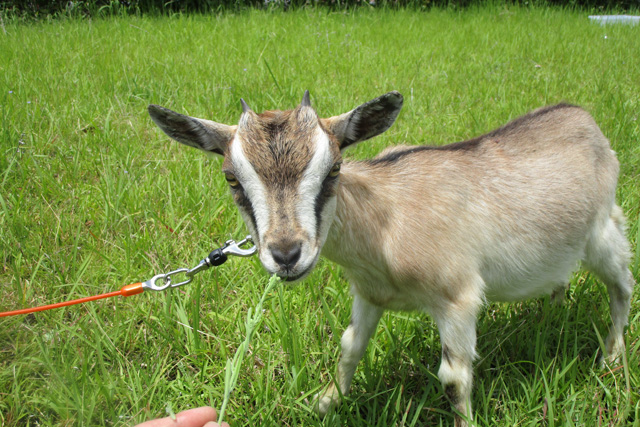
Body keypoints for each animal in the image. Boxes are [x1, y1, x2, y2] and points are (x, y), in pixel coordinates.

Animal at [150, 93, 636, 427]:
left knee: (622, 285)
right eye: (232, 178)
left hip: (602, 233)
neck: (383, 226)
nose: (287, 254)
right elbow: (350, 347)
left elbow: (453, 378)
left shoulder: (458, 297)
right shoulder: (369, 295)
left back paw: (611, 358)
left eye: (334, 169)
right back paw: (552, 316)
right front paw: (323, 403)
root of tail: (583, 117)